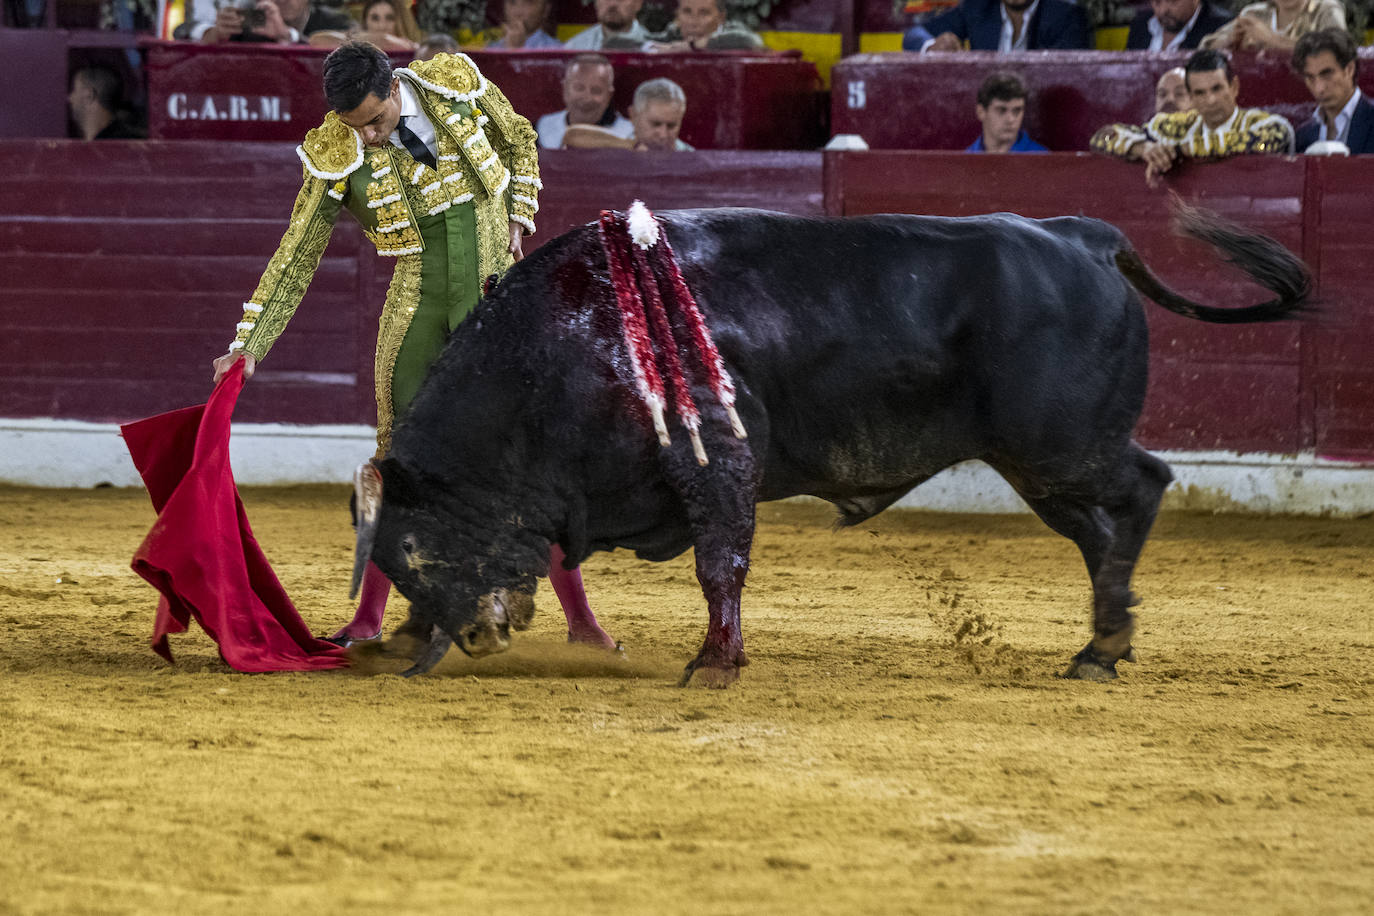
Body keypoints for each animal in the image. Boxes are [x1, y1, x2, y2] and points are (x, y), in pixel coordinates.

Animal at [351, 204, 1308, 683]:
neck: (563, 348)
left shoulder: (720, 463)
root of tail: (1090, 239)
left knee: (1144, 488)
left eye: (418, 548)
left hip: (1061, 445)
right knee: (1100, 532)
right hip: (1040, 467)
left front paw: (713, 666)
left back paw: (1105, 651)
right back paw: (1102, 644)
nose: (476, 638)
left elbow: (721, 564)